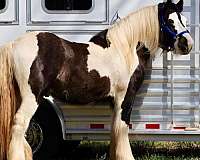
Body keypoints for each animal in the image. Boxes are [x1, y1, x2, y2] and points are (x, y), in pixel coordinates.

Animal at [0, 0, 194, 160]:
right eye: (170, 22)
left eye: (184, 19)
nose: (187, 44)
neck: (125, 49)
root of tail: (13, 45)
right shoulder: (125, 98)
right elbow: (122, 127)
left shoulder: (114, 102)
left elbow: (115, 130)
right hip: (32, 98)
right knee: (19, 126)